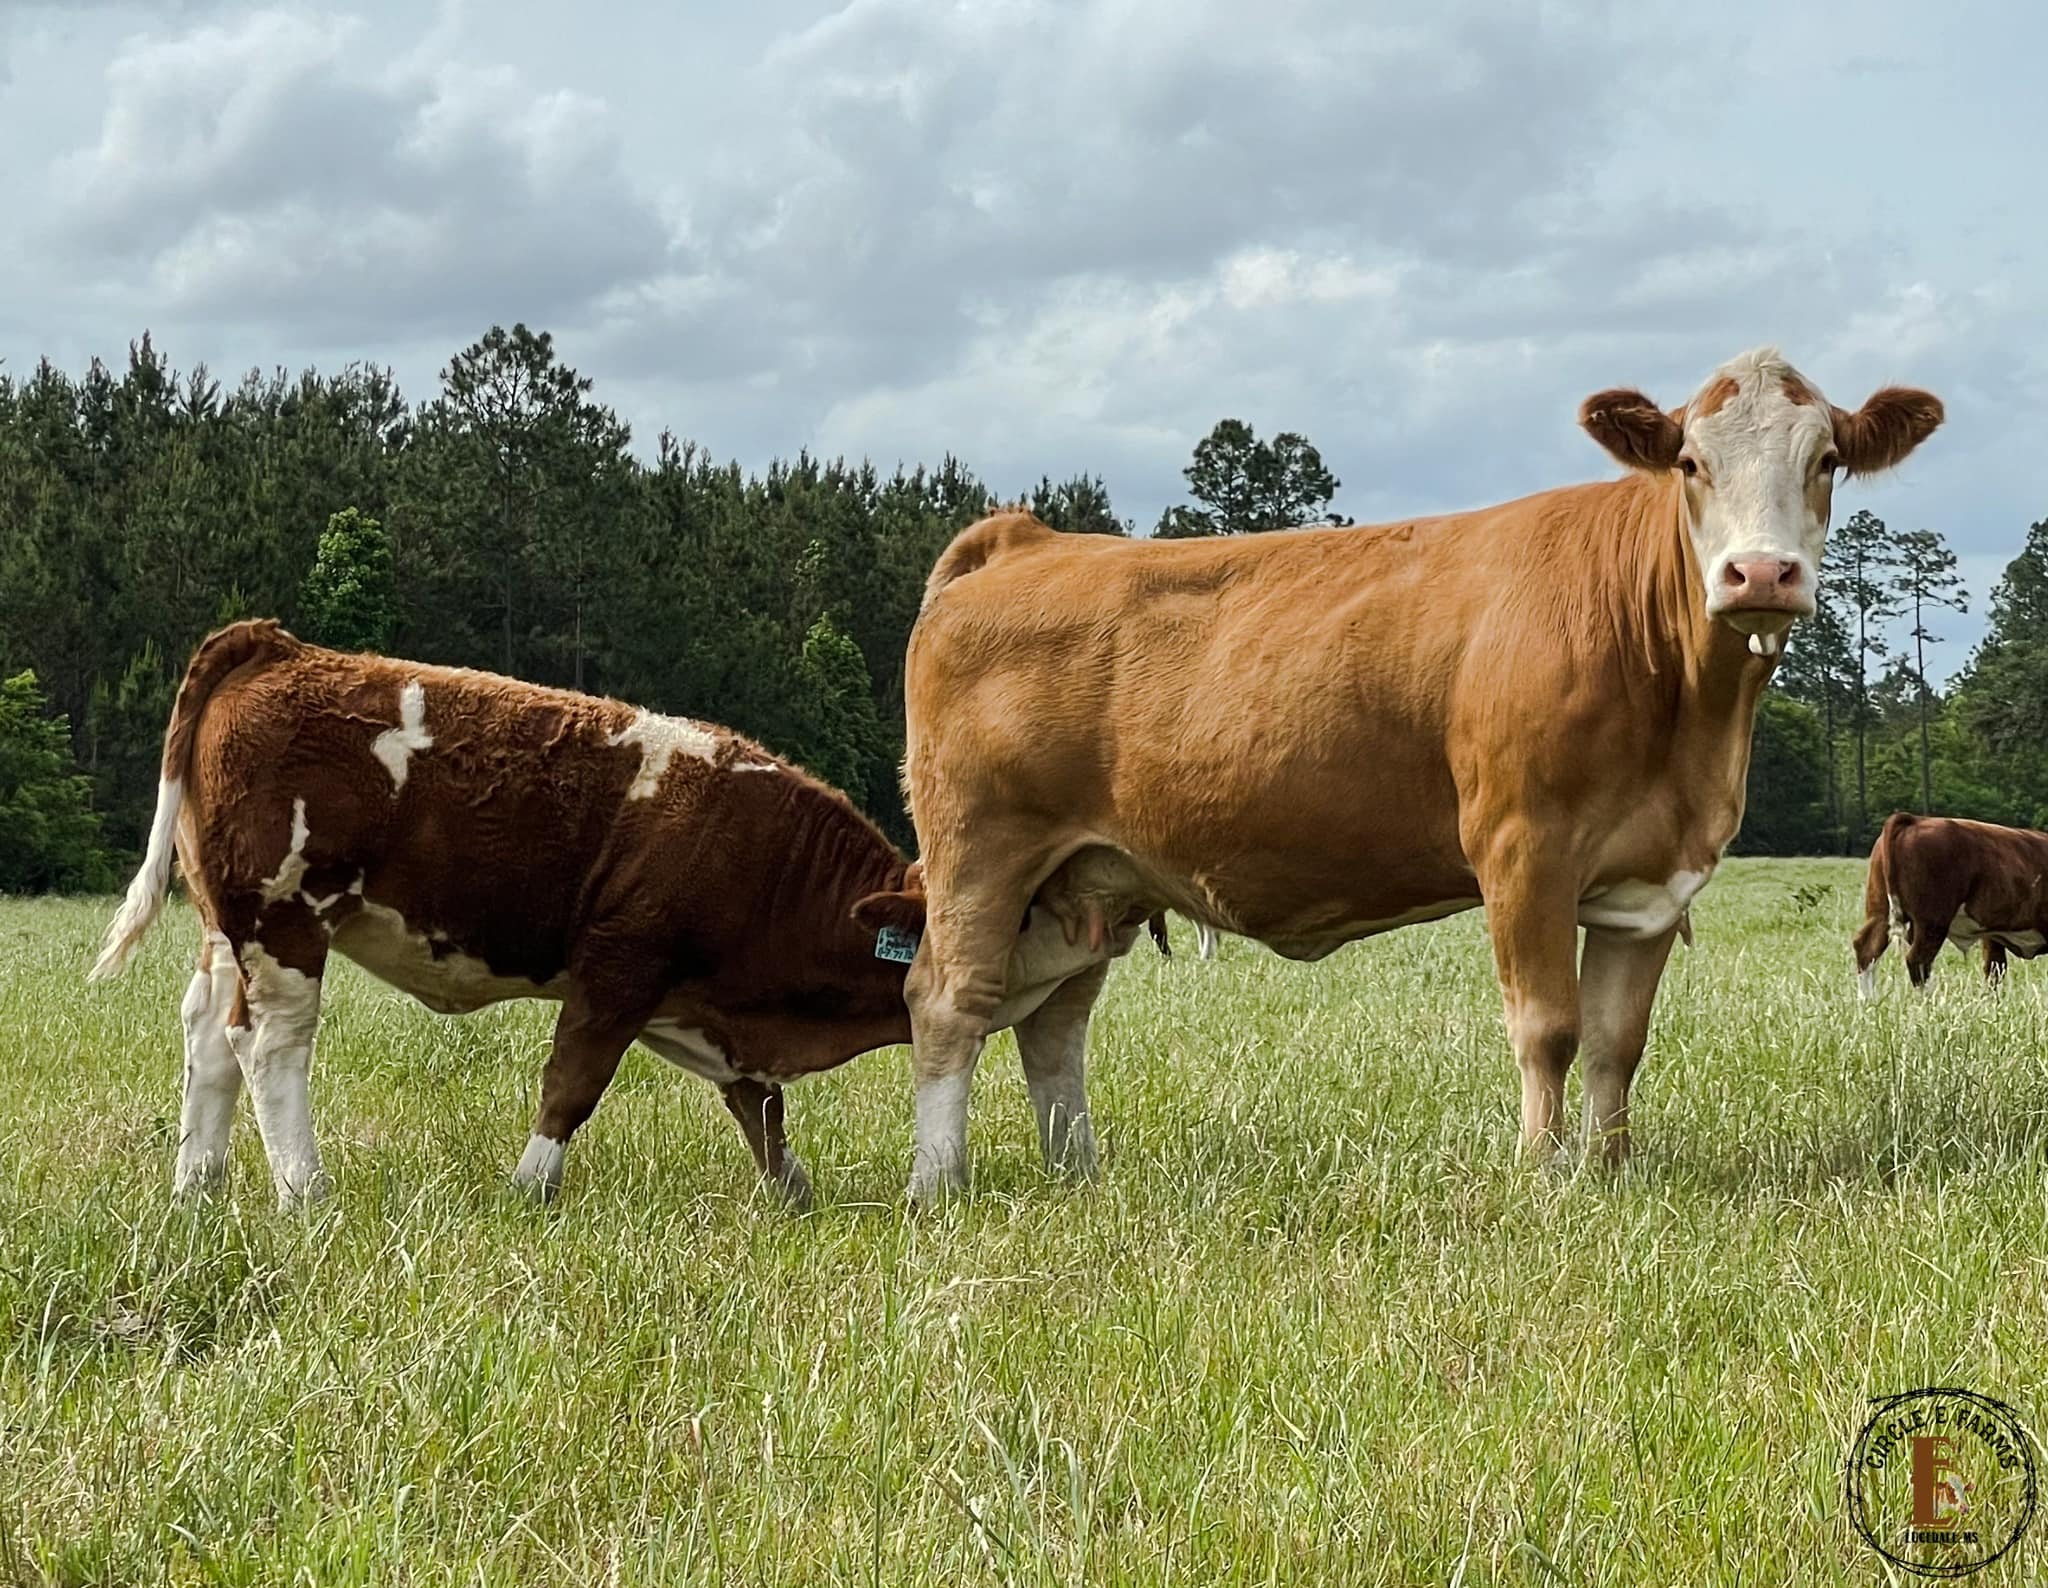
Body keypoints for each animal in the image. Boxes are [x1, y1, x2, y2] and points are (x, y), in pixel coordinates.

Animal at [89, 622, 1129, 1209]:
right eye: (1024, 905)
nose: (1110, 927)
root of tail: (279, 646)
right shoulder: (621, 968)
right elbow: (572, 1085)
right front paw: (527, 1190)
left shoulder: (710, 1007)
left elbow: (760, 1109)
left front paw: (798, 1198)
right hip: (284, 921)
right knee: (270, 1046)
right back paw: (304, 1192)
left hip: (226, 929)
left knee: (208, 1039)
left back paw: (196, 1189)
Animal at [868, 347, 1943, 1202]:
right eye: (1690, 461)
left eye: (1827, 459)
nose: (1760, 575)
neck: (1688, 722)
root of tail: (1027, 538)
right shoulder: (1522, 849)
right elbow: (1548, 1029)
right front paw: (1541, 1177)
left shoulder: (1650, 883)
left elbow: (1616, 1042)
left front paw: (1609, 1175)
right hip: (981, 853)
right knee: (947, 1001)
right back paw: (938, 1185)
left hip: (1087, 879)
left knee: (1053, 1021)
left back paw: (1077, 1176)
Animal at [1854, 812, 2048, 994]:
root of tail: (1915, 820)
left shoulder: (1992, 935)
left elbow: (1994, 970)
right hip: (1933, 921)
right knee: (1918, 961)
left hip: (1880, 911)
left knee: (1866, 949)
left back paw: (1868, 1002)